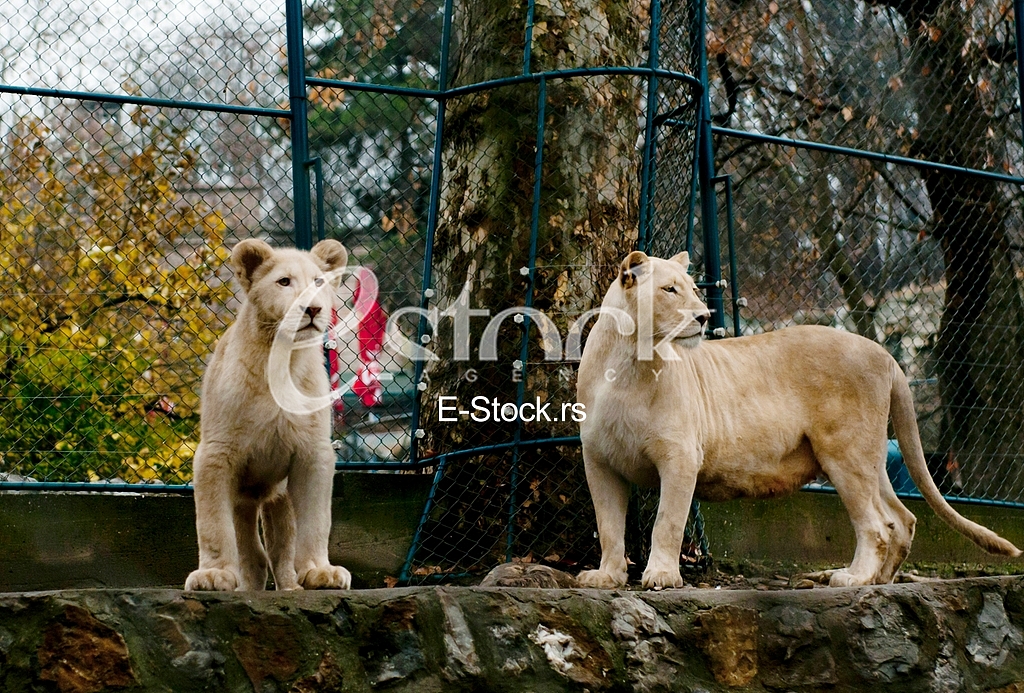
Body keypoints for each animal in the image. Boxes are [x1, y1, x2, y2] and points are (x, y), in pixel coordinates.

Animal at [184, 238, 352, 592]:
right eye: (284, 282)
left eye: (318, 282)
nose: (312, 309)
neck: (282, 361)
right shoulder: (216, 453)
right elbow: (213, 524)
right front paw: (213, 574)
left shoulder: (312, 453)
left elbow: (316, 520)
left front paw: (321, 572)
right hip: (243, 497)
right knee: (251, 551)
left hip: (280, 496)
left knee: (279, 549)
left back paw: (291, 585)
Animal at [576, 250, 1021, 590]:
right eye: (670, 290)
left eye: (695, 290)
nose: (703, 316)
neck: (630, 363)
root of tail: (883, 353)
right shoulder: (598, 461)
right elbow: (609, 524)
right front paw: (605, 577)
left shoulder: (681, 456)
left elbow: (666, 522)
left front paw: (662, 577)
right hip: (870, 456)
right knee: (903, 519)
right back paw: (879, 580)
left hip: (844, 452)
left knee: (878, 525)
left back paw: (852, 578)